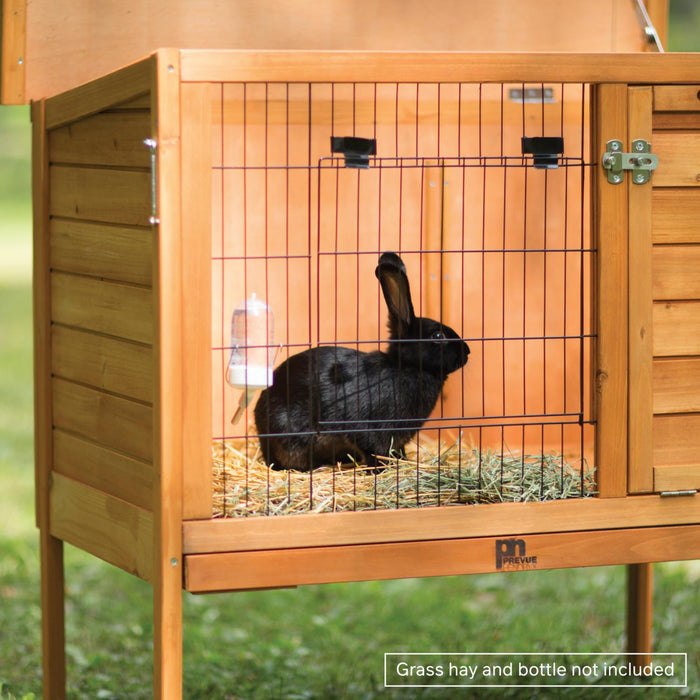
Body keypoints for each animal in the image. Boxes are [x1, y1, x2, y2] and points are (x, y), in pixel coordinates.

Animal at [254, 252, 470, 471]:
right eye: (438, 335)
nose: (467, 352)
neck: (407, 366)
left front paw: (403, 461)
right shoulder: (369, 429)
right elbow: (374, 450)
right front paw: (380, 470)